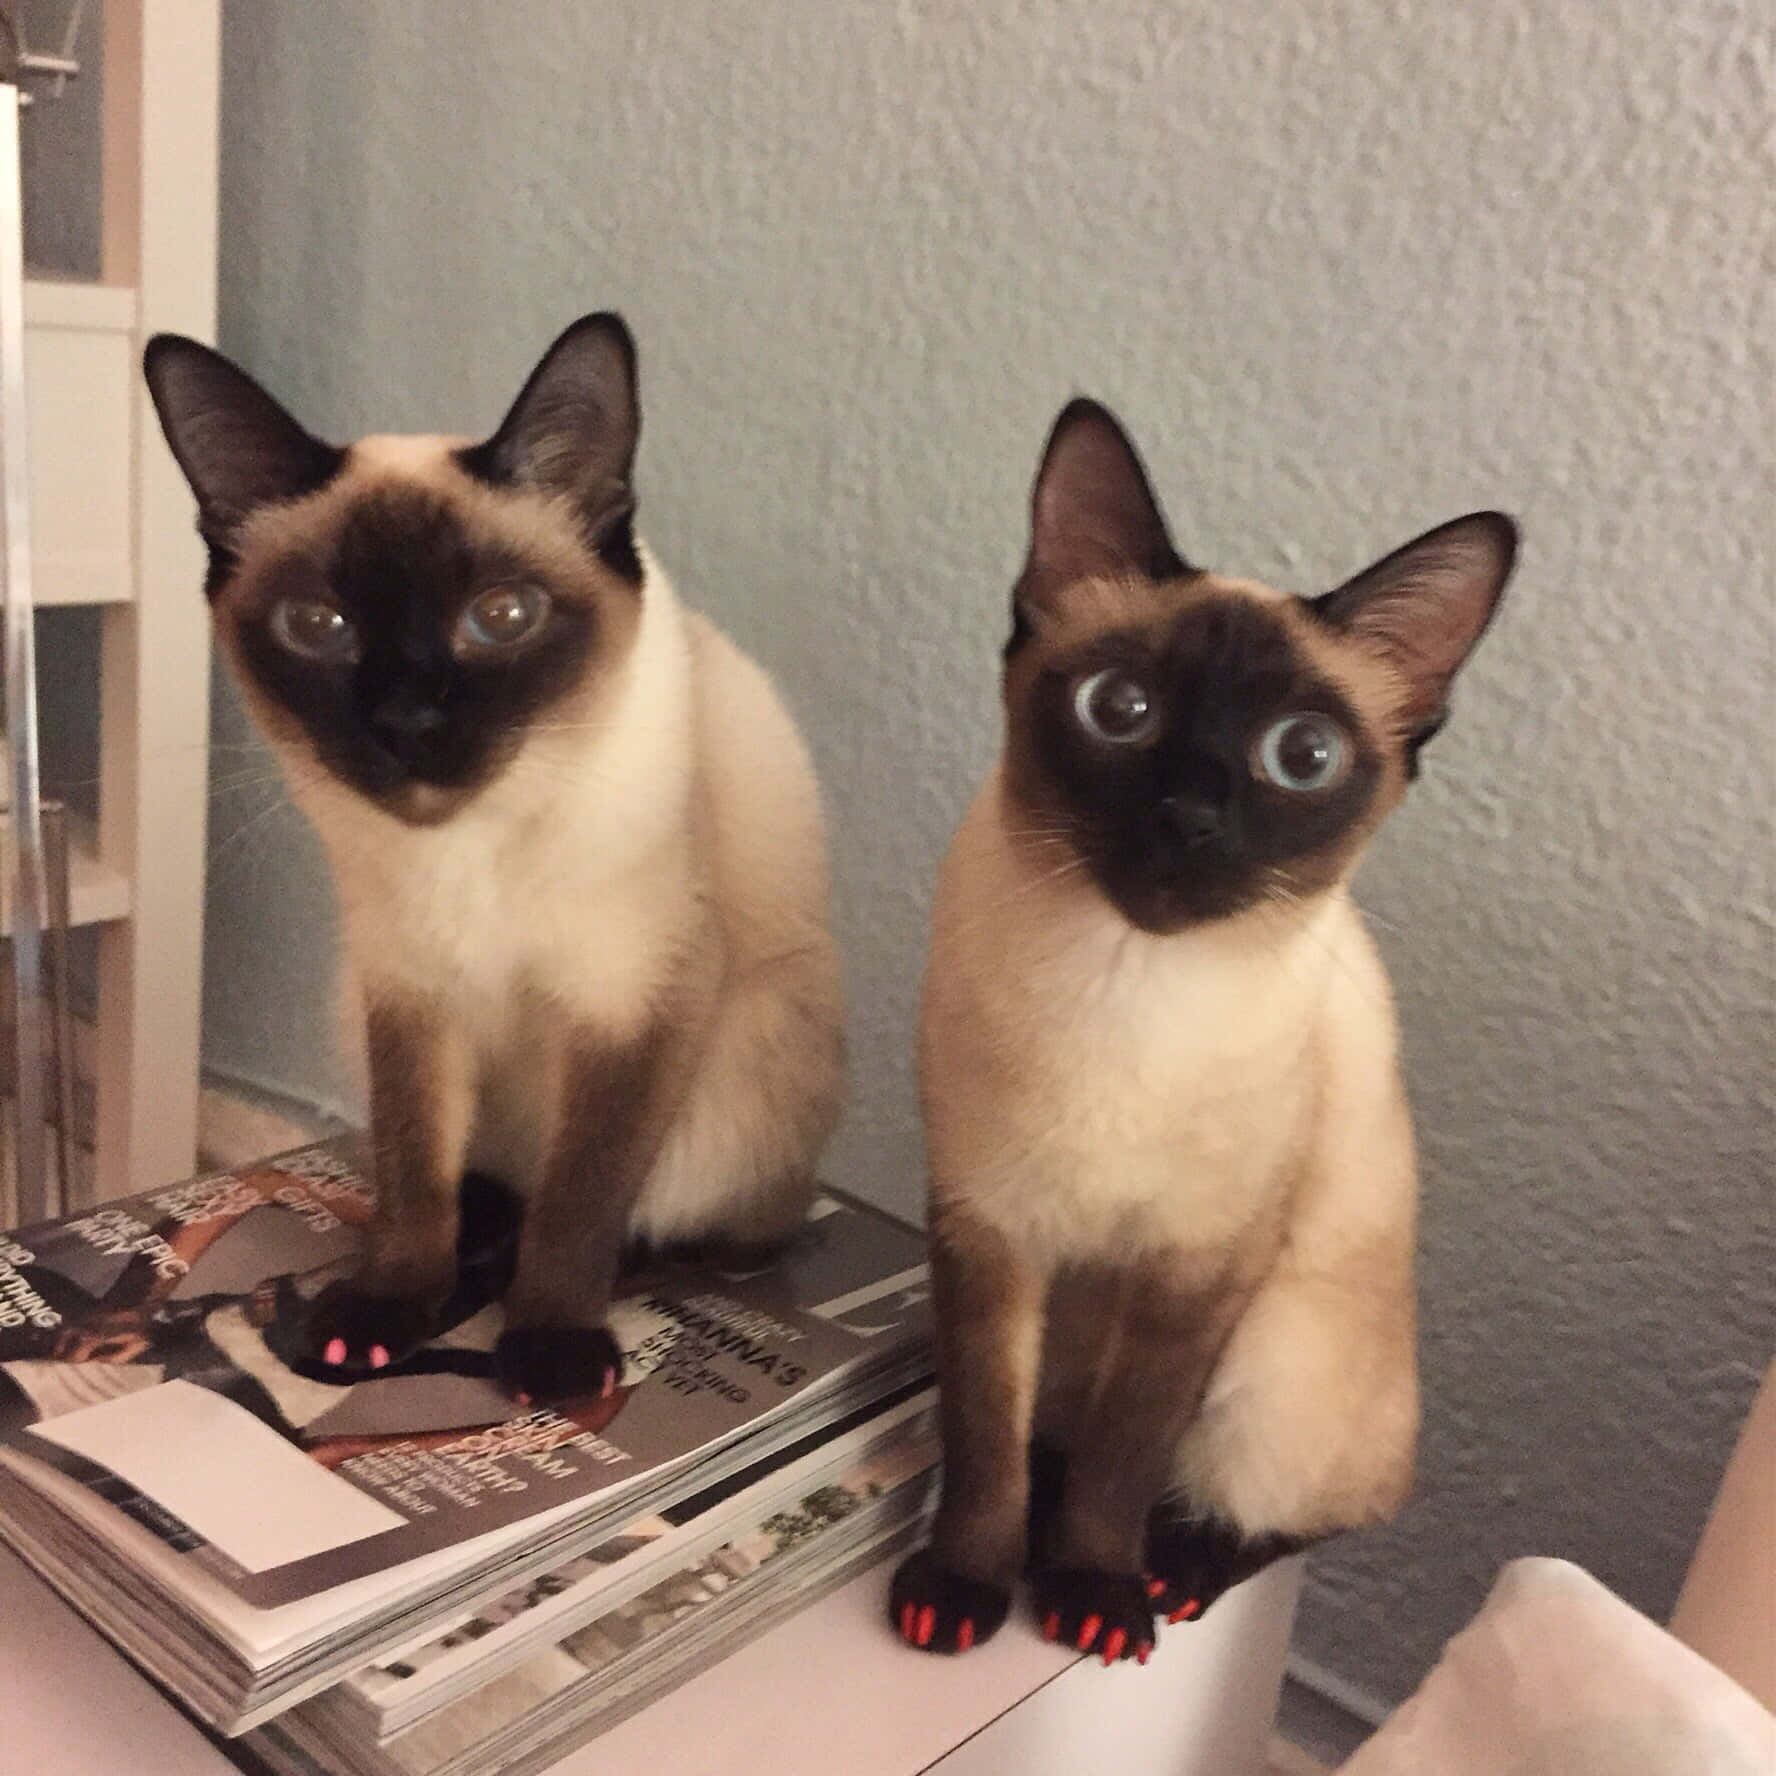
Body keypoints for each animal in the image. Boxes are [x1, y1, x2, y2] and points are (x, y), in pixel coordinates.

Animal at [145, 316, 845, 1399]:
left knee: (701, 1223)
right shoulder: (408, 992)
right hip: (353, 1010)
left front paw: (550, 1350)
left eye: (503, 617)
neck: (468, 847)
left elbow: (581, 1198)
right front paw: (381, 1318)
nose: (407, 723)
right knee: (477, 1184)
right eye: (318, 627)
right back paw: (476, 1241)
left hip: (757, 1057)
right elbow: (414, 1175)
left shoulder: (631, 1002)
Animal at [888, 399, 1513, 1662]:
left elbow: (1129, 1453)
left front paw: (1092, 1595)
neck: (1125, 988)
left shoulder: (1197, 1267)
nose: (1189, 818)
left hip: (1271, 1368)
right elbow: (984, 1438)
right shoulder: (989, 1230)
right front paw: (965, 1586)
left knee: (1303, 1511)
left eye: (1302, 757)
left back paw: (1171, 1575)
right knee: (1049, 1443)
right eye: (1119, 711)